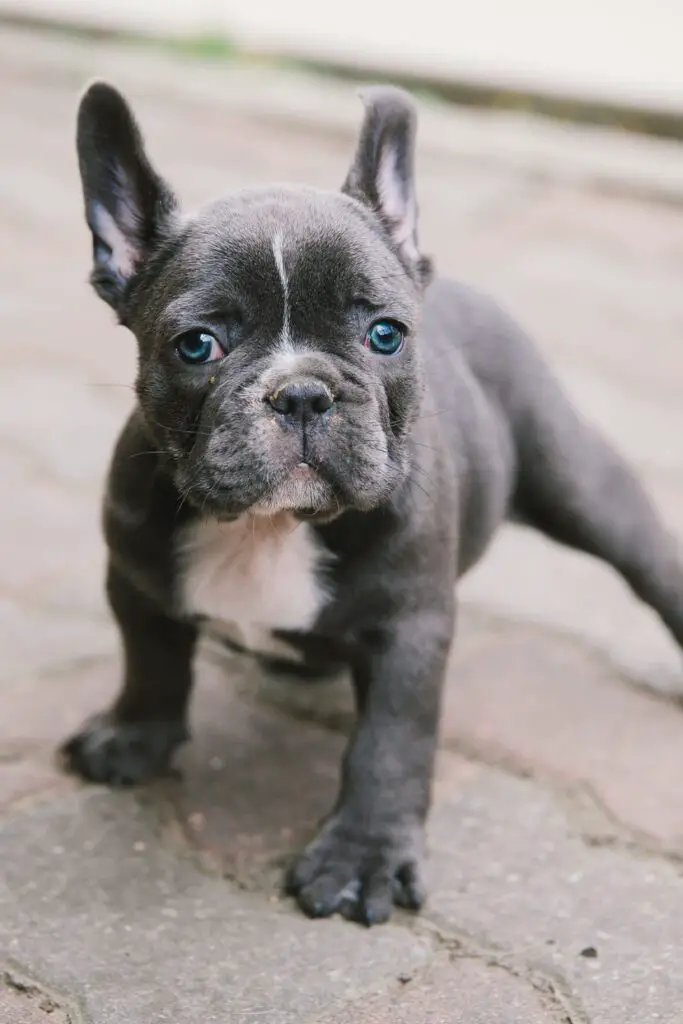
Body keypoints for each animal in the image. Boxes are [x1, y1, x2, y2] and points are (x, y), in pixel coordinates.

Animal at [62, 81, 683, 929]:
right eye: (196, 346)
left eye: (384, 335)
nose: (301, 392)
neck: (269, 528)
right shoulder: (135, 579)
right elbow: (150, 663)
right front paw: (133, 736)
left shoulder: (408, 629)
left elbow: (390, 742)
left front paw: (362, 859)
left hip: (575, 479)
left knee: (646, 558)